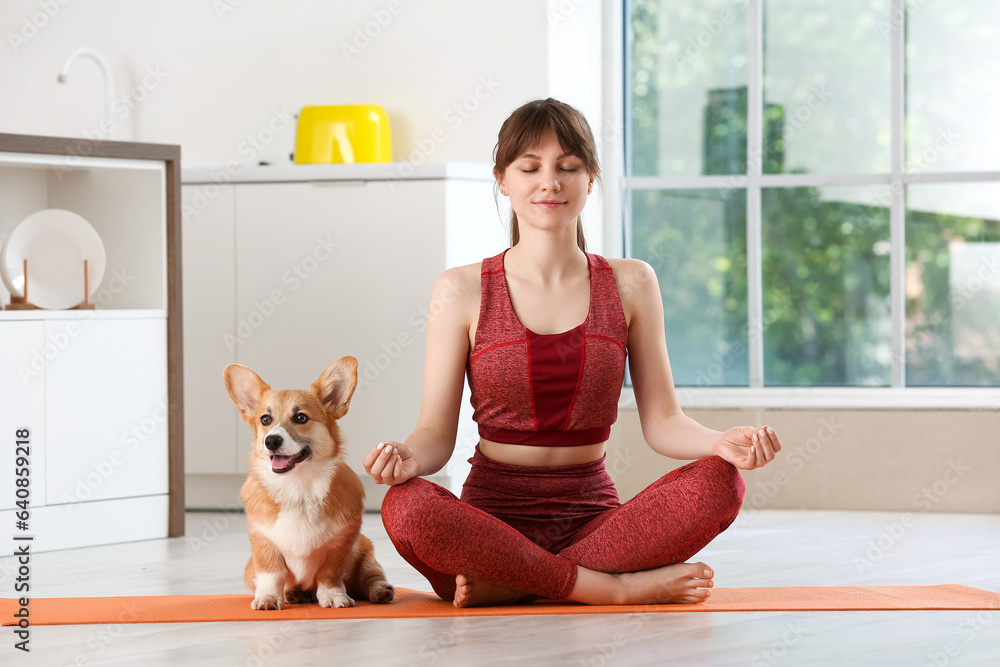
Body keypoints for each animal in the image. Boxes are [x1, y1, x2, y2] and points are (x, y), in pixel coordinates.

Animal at [225, 360, 392, 612]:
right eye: (265, 420)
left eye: (301, 418)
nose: (271, 441)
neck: (298, 487)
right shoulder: (264, 543)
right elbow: (272, 573)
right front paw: (268, 597)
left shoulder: (340, 545)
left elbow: (329, 575)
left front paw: (334, 596)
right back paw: (292, 593)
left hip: (365, 552)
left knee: (370, 577)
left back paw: (381, 591)